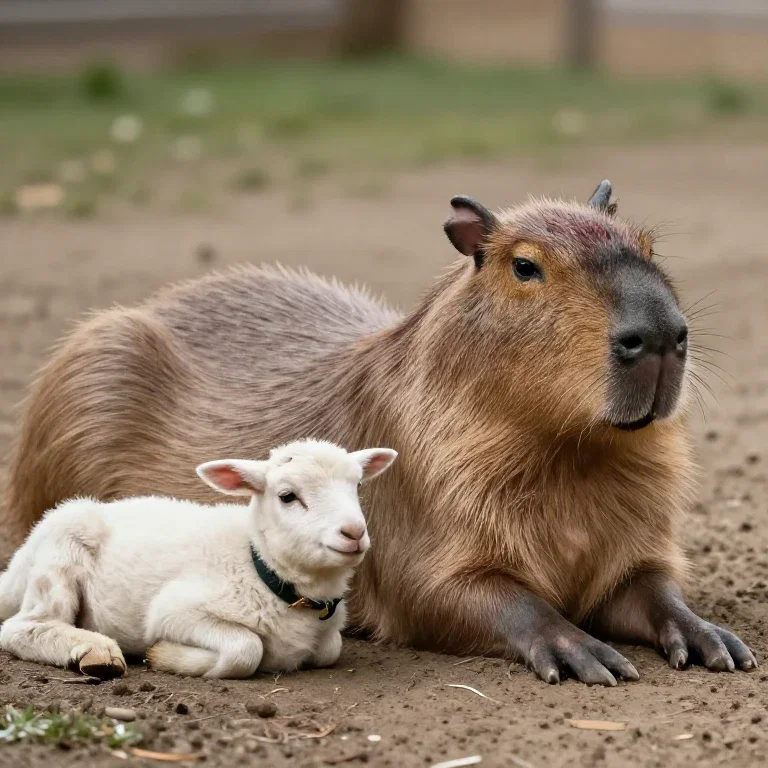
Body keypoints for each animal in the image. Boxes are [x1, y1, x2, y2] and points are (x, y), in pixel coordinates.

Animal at [0, 440, 397, 679]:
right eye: (287, 496)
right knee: (24, 627)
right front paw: (163, 655)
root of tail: (20, 560)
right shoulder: (174, 611)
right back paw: (96, 651)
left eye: (357, 487)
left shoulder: (327, 637)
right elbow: (245, 649)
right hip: (61, 551)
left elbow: (330, 648)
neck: (260, 568)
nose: (353, 533)